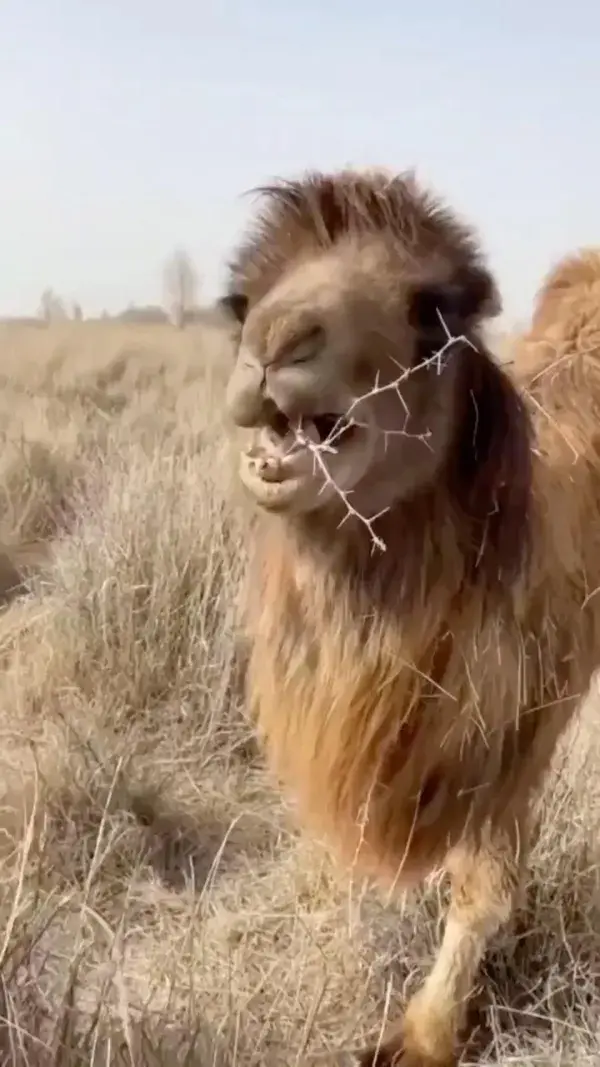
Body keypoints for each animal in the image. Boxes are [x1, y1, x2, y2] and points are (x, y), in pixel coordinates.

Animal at [216, 164, 597, 1058]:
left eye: (433, 312)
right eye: (240, 302)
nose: (277, 344)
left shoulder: (523, 719)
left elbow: (483, 881)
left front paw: (426, 1034)